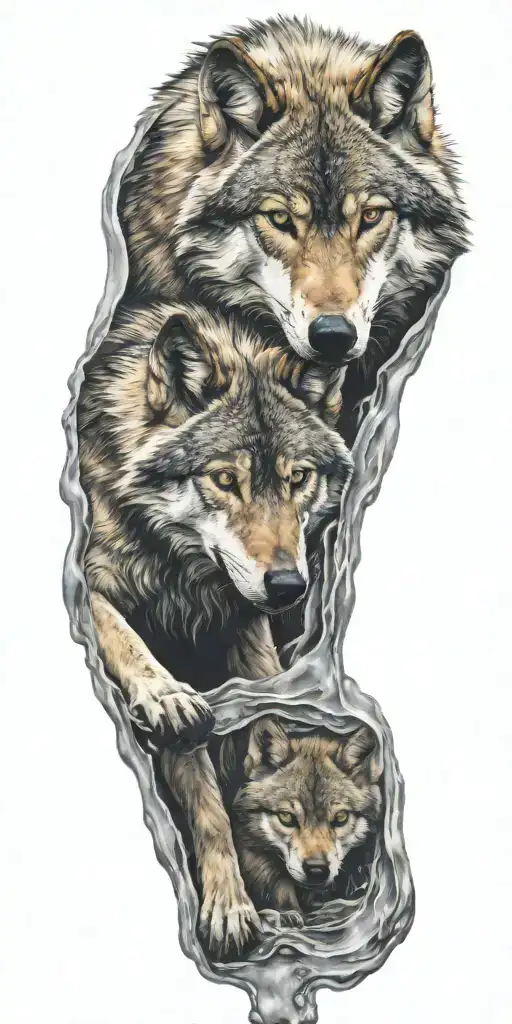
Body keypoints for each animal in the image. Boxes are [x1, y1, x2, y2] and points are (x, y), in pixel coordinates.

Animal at [77, 300, 352, 957]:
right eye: (226, 480)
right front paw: (230, 909)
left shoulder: (246, 638)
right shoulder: (88, 582)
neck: (179, 575)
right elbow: (203, 791)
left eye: (298, 478)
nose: (289, 587)